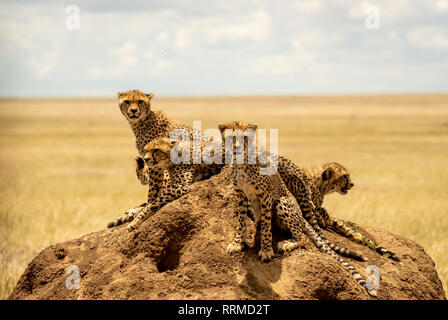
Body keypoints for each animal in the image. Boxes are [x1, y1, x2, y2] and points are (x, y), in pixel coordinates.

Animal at [219, 122, 376, 298]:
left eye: (245, 138)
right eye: (231, 138)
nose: (352, 184)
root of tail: (301, 215)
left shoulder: (266, 196)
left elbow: (267, 227)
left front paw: (266, 250)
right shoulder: (240, 195)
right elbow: (241, 222)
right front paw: (237, 243)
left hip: (283, 201)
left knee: (303, 236)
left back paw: (287, 243)